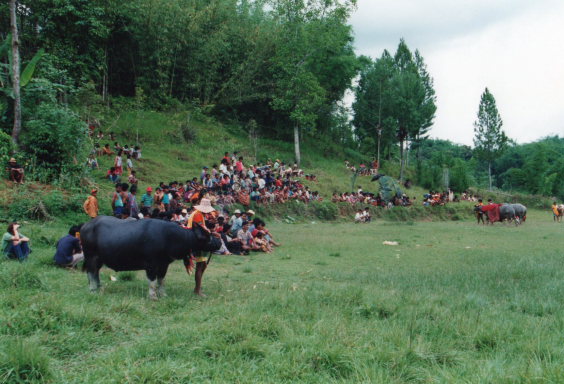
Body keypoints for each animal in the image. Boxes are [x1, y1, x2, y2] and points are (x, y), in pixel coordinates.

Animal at [80, 216, 221, 300]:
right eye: (208, 237)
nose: (219, 241)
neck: (169, 237)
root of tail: (85, 226)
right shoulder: (151, 265)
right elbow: (152, 282)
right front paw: (153, 297)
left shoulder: (164, 265)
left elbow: (161, 280)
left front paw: (163, 294)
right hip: (90, 256)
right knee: (91, 272)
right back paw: (93, 290)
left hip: (99, 259)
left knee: (95, 272)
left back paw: (99, 287)